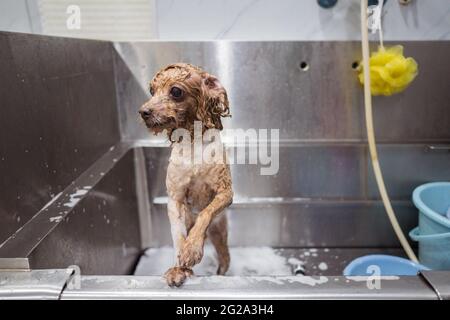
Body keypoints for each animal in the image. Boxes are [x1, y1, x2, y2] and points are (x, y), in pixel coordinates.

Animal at [140, 63, 232, 288]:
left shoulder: (226, 193)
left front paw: (192, 249)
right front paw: (178, 268)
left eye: (176, 91)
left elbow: (206, 212)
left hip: (219, 232)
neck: (193, 145)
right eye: (152, 91)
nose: (143, 112)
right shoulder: (175, 199)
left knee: (224, 258)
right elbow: (177, 237)